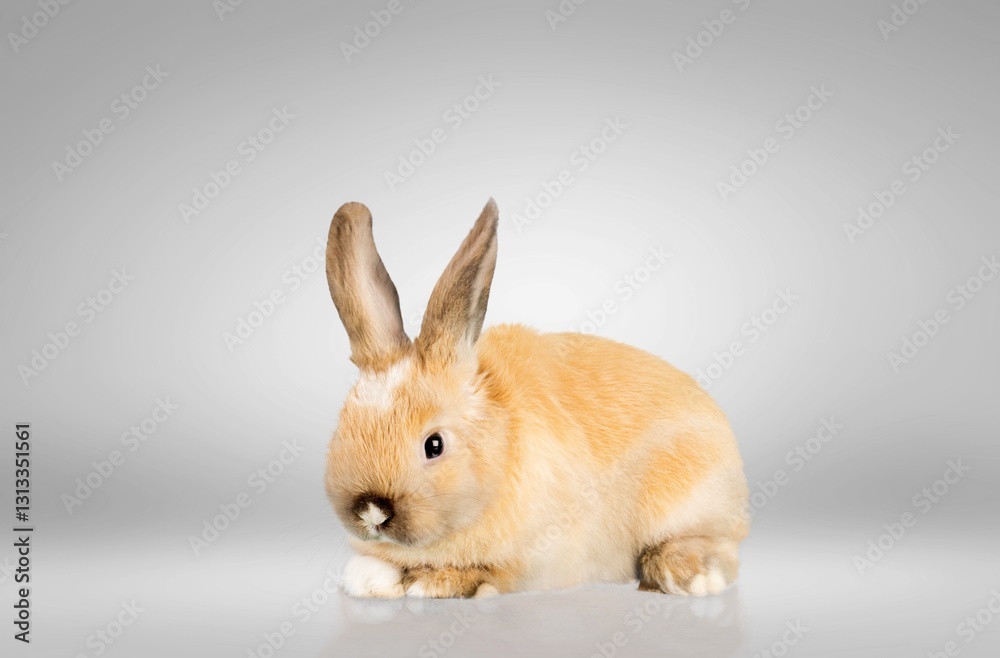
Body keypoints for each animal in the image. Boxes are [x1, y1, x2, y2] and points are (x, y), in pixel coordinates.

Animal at [324, 198, 749, 599]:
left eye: (435, 444)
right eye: (342, 429)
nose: (372, 511)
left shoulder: (536, 557)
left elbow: (486, 573)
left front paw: (434, 583)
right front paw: (368, 579)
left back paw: (688, 576)